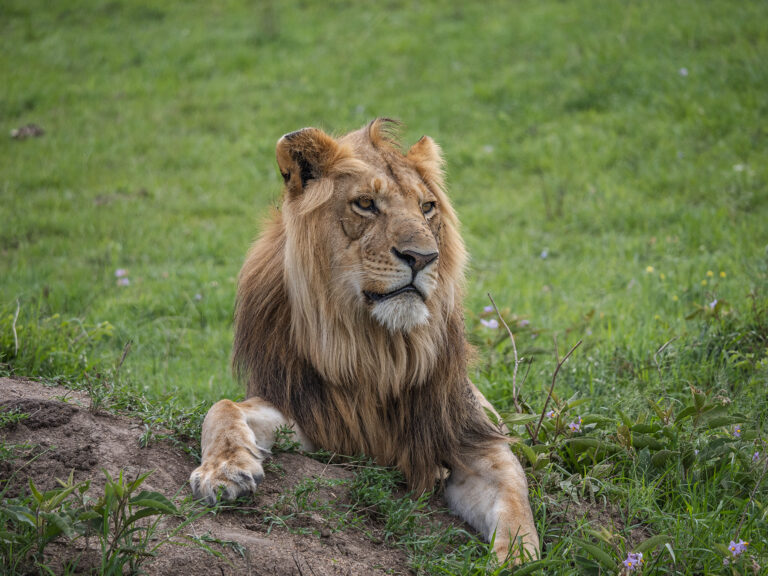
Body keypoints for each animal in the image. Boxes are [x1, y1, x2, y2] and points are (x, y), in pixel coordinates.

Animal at [190, 118, 540, 564]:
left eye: (427, 208)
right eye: (366, 204)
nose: (423, 257)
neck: (377, 350)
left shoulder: (471, 436)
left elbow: (515, 500)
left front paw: (518, 559)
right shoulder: (316, 419)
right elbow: (222, 407)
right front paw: (223, 471)